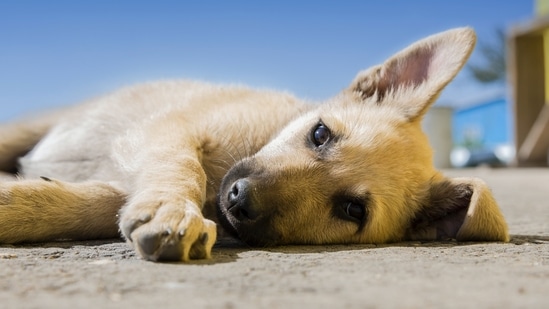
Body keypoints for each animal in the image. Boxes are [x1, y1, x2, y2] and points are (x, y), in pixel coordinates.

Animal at [0, 27, 510, 262]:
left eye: (352, 210)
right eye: (320, 134)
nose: (239, 199)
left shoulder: (131, 176)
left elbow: (87, 204)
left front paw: (19, 205)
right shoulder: (168, 128)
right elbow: (182, 166)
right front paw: (173, 209)